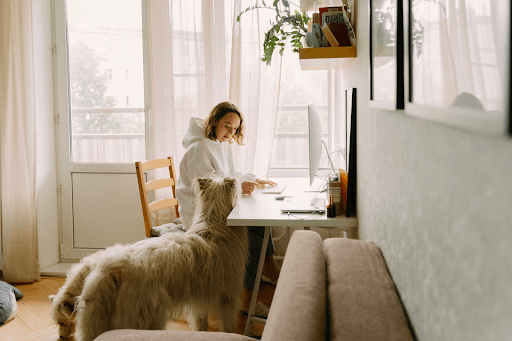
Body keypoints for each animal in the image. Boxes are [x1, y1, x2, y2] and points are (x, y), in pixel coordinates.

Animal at [51, 175, 247, 340]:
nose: (61, 336)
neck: (212, 225)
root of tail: (111, 270)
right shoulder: (228, 296)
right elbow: (228, 323)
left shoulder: (198, 300)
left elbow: (200, 323)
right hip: (142, 318)